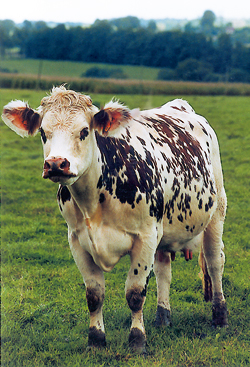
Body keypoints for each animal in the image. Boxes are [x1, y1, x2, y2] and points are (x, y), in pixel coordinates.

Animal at [2, 85, 229, 354]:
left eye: (84, 131)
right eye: (43, 132)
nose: (56, 164)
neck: (93, 201)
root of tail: (178, 106)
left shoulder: (145, 236)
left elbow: (135, 293)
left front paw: (137, 340)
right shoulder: (77, 239)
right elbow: (94, 294)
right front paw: (96, 339)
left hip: (216, 211)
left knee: (215, 262)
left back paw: (220, 316)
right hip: (163, 228)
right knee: (164, 269)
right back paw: (163, 317)